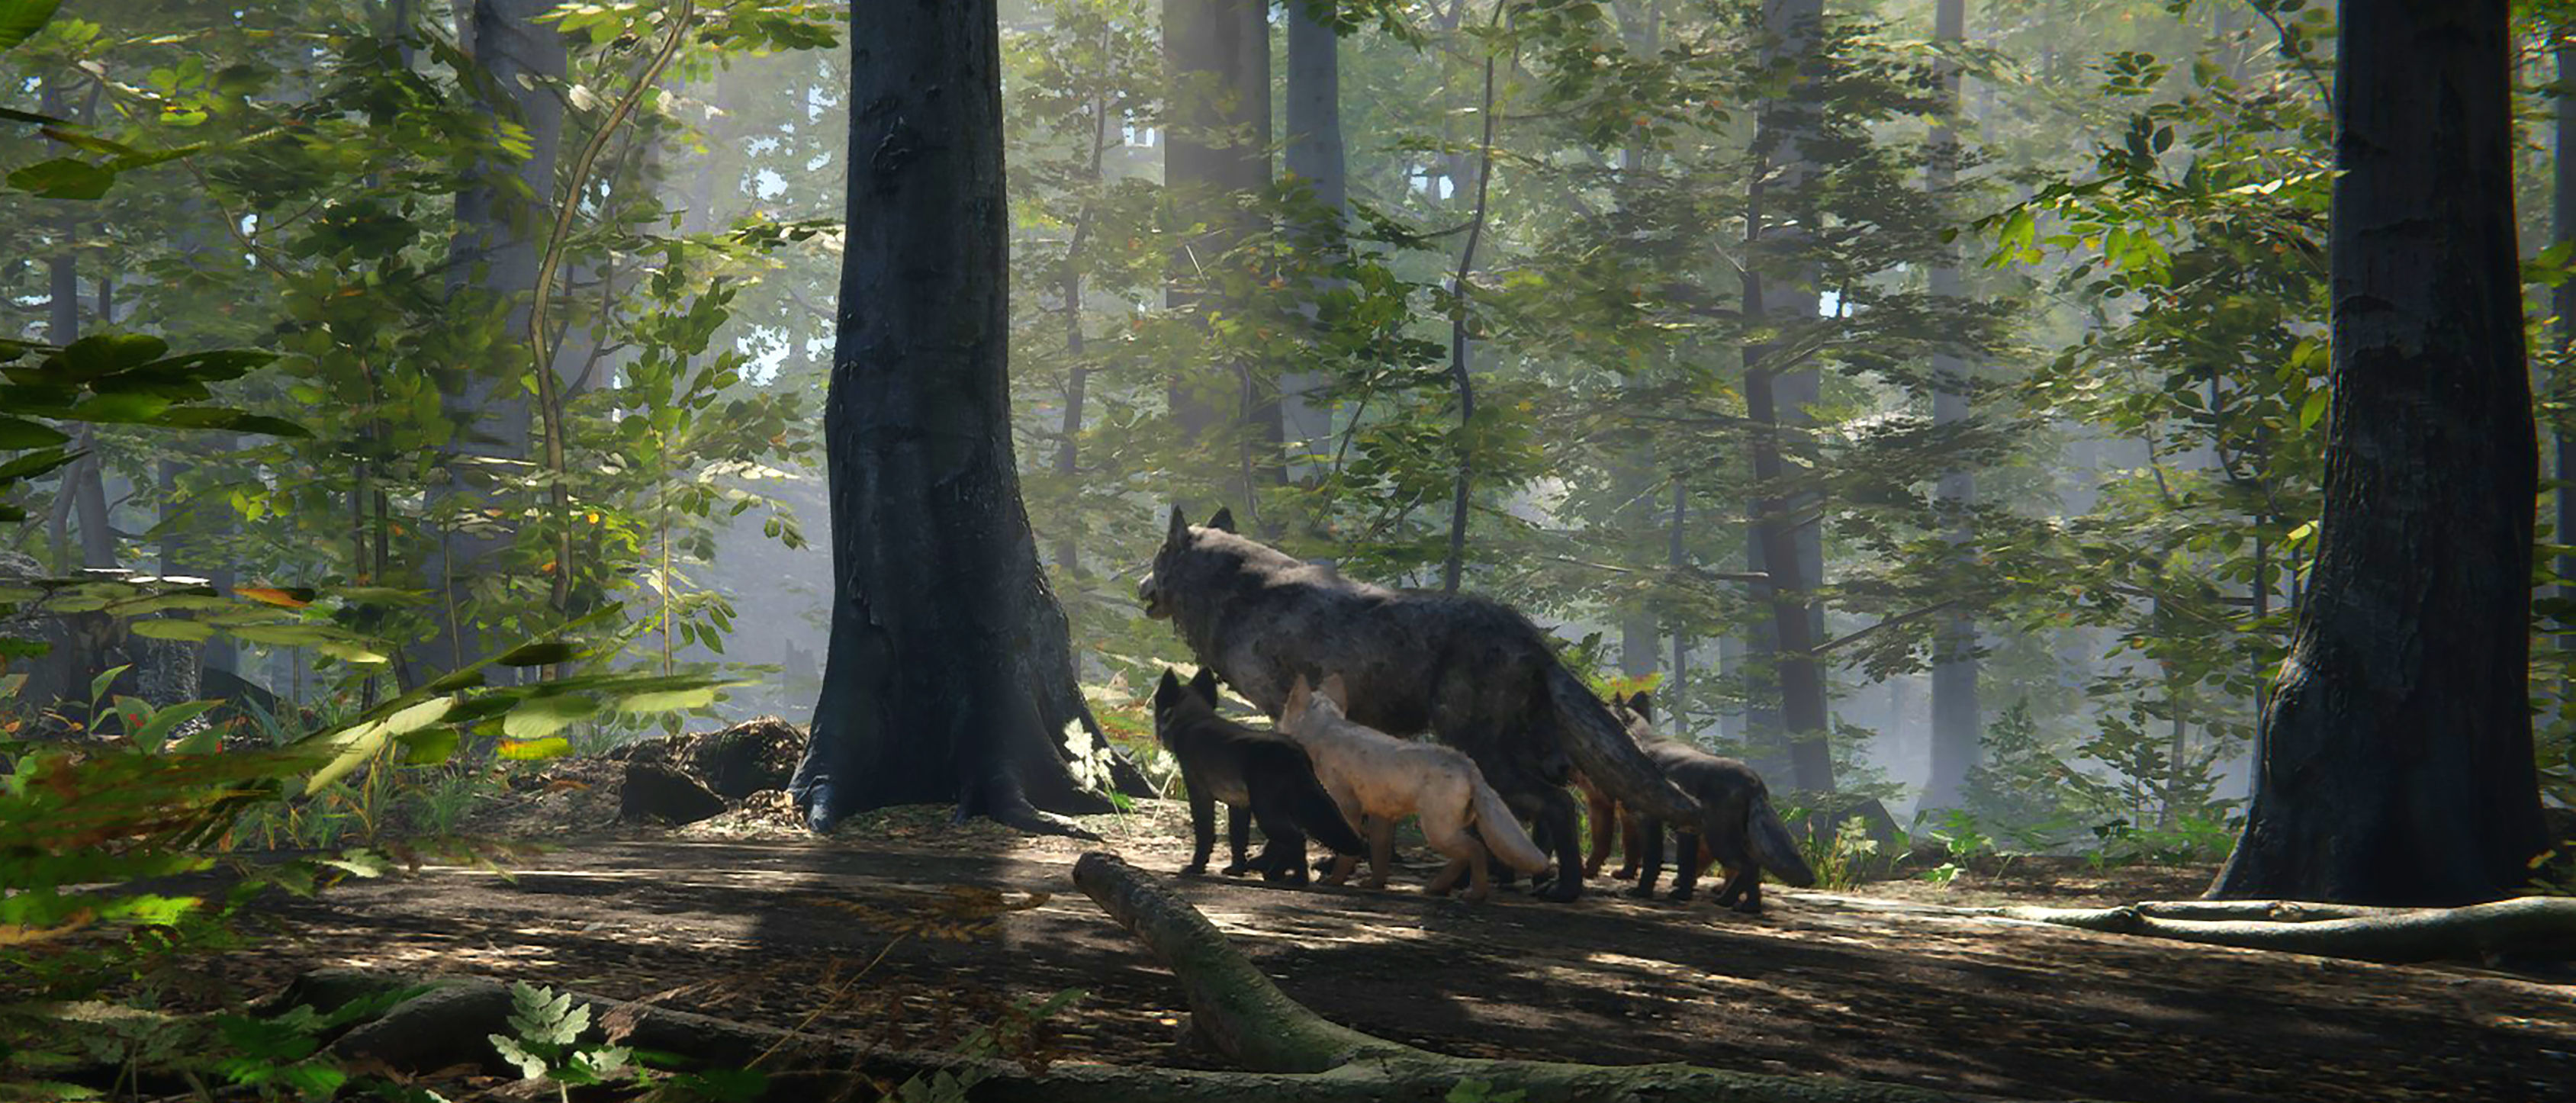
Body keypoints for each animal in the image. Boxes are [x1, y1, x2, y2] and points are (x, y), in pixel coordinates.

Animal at [1151, 668, 1367, 885]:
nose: (1158, 735)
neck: (1193, 719)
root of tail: (1294, 750)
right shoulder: (1239, 805)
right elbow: (1238, 839)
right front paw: (1237, 870)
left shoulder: (1200, 794)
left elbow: (1205, 834)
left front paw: (1197, 867)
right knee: (1286, 842)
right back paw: (1276, 873)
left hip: (1267, 813)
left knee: (1296, 839)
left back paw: (1298, 879)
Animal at [1278, 674, 1550, 901]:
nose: (1276, 727)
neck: (1325, 731)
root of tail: (1466, 763)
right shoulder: (1381, 816)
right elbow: (1380, 856)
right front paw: (1375, 884)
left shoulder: (1348, 807)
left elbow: (1348, 853)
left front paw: (1334, 881)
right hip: (1445, 831)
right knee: (1465, 856)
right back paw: (1437, 887)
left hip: (1437, 832)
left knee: (1476, 850)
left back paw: (1475, 894)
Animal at [1618, 693, 1818, 912]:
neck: (1643, 740)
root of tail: (1754, 780)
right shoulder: (1688, 830)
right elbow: (1686, 868)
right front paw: (1682, 895)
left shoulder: (1649, 820)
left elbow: (1652, 861)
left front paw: (1642, 892)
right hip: (1734, 840)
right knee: (1754, 870)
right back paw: (1746, 906)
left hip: (1720, 841)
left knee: (1749, 866)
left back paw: (1731, 902)